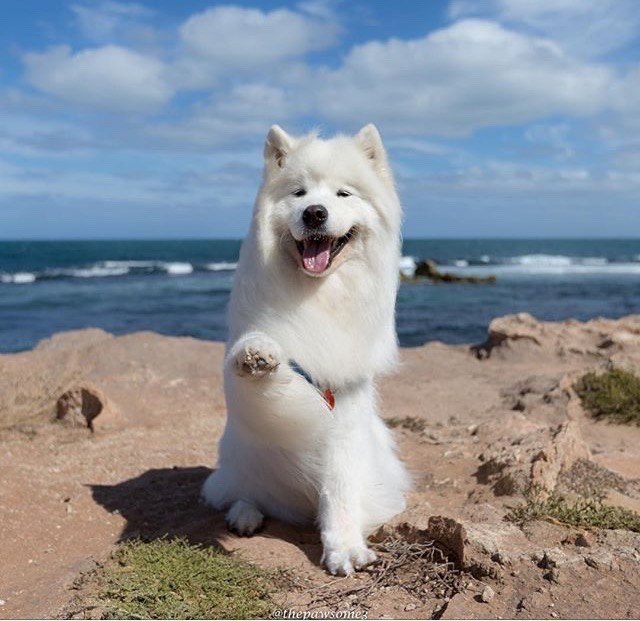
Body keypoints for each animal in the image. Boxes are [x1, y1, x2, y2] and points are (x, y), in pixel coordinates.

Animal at [201, 123, 410, 572]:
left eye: (343, 194)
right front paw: (258, 356)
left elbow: (340, 490)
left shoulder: (345, 411)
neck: (318, 295)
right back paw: (245, 513)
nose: (314, 212)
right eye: (298, 193)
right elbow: (260, 362)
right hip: (239, 454)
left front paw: (343, 548)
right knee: (243, 489)